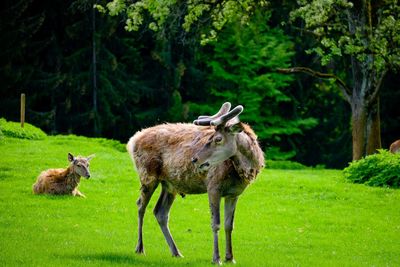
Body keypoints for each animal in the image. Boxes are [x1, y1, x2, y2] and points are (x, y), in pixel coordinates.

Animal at [126, 102, 264, 264]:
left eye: (218, 139)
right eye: (210, 136)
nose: (195, 159)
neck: (243, 170)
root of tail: (133, 140)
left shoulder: (234, 194)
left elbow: (229, 225)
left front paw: (230, 258)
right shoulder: (213, 186)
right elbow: (216, 223)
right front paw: (216, 258)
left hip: (169, 185)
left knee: (160, 212)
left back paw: (176, 252)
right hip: (147, 175)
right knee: (141, 206)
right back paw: (140, 248)